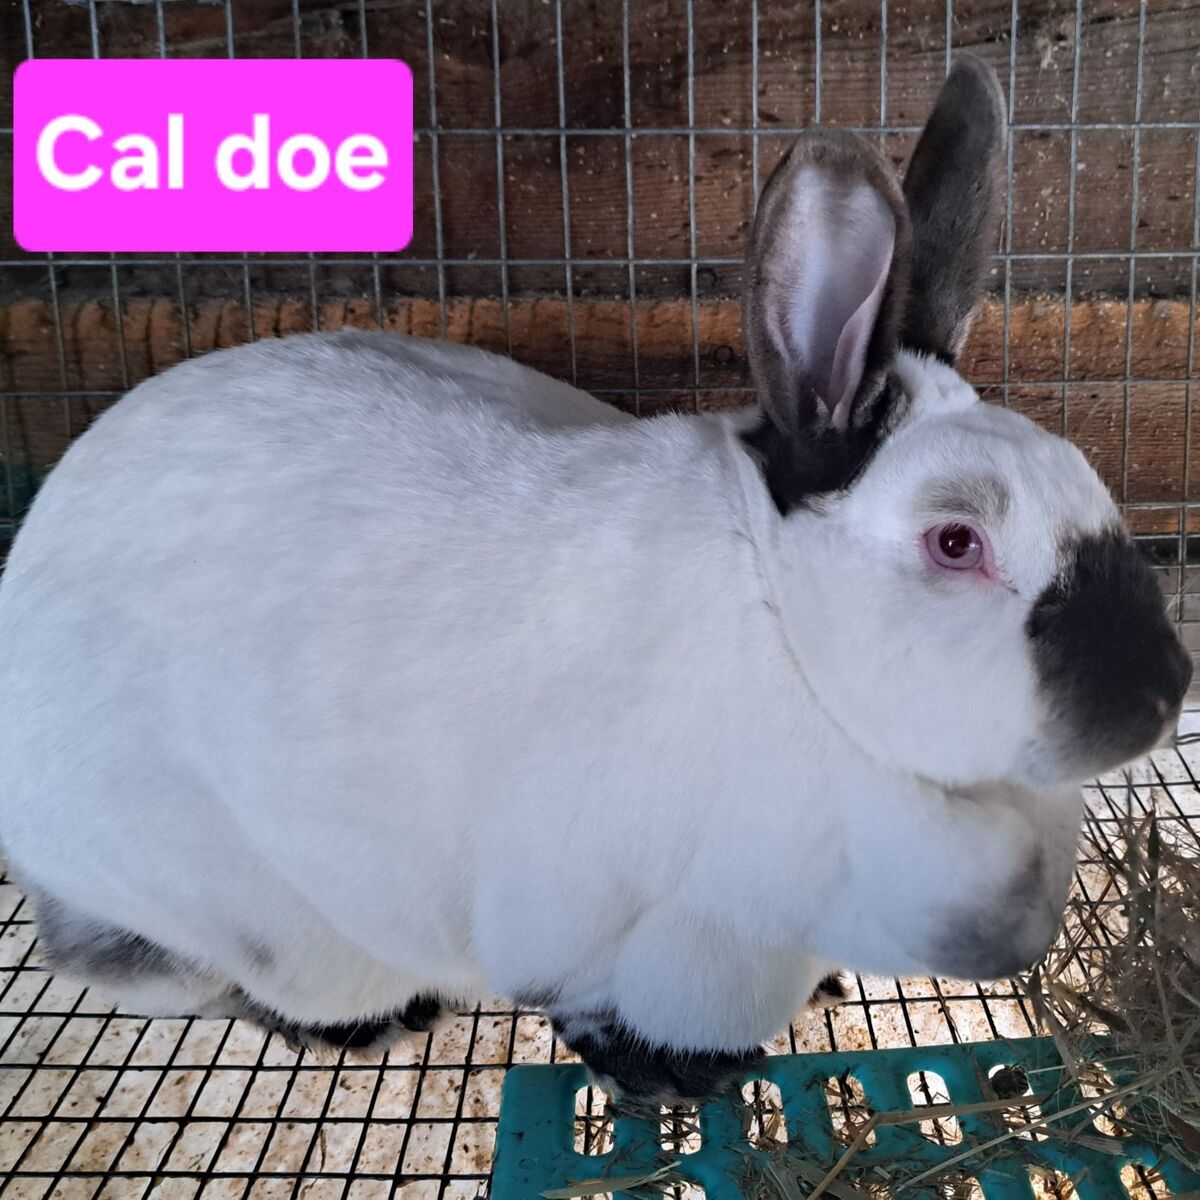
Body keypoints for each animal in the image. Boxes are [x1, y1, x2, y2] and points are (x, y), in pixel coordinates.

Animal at [0, 55, 1189, 1103]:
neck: (791, 643)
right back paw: (369, 1021)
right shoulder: (610, 928)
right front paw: (669, 1077)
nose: (1165, 690)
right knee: (142, 966)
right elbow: (592, 1005)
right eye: (955, 543)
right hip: (251, 919)